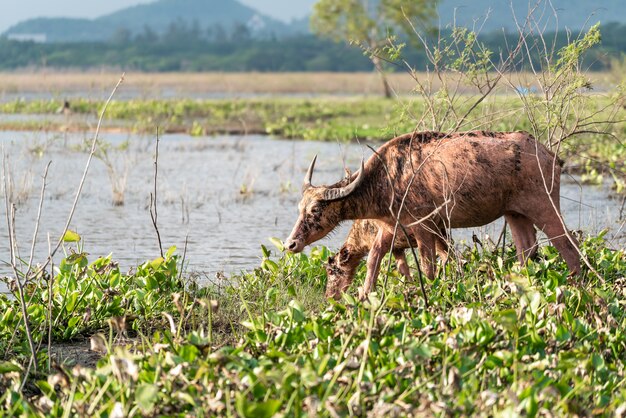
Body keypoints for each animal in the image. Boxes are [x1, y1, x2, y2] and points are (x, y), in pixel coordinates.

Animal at [286, 131, 576, 300]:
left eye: (315, 209)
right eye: (299, 207)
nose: (291, 244)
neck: (387, 179)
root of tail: (550, 155)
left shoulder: (424, 227)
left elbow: (428, 267)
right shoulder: (393, 231)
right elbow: (375, 261)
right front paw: (365, 295)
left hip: (544, 207)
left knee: (567, 244)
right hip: (514, 213)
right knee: (526, 250)